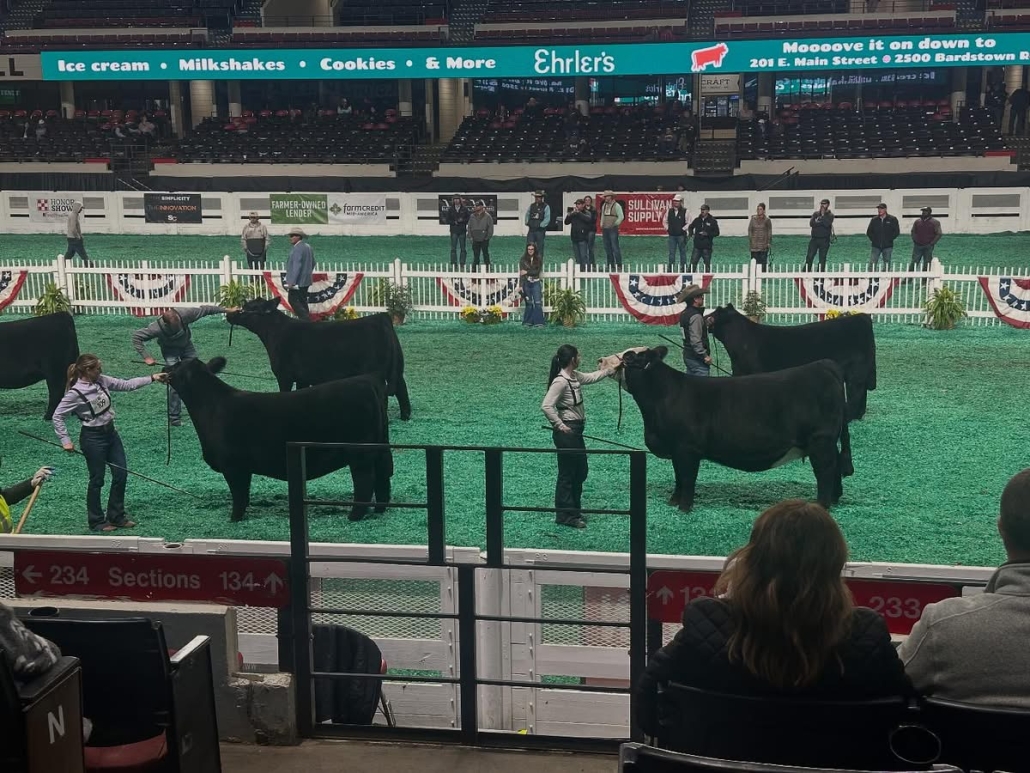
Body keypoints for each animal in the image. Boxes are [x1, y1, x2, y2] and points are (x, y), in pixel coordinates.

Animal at [163, 356, 393, 522]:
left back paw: (354, 516)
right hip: (380, 448)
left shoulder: (233, 466)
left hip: (359, 453)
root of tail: (369, 380)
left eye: (177, 365)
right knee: (383, 478)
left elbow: (239, 494)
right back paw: (379, 510)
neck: (212, 405)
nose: (164, 367)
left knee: (365, 481)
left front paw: (234, 518)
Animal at [227, 298, 412, 420]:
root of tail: (382, 318)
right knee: (402, 390)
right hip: (397, 369)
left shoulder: (284, 375)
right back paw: (405, 417)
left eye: (248, 307)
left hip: (374, 370)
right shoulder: (302, 377)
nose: (229, 315)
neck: (274, 332)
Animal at [598, 346, 853, 512]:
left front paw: (684, 508)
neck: (664, 395)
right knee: (836, 466)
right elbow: (678, 477)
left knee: (825, 470)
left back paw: (821, 505)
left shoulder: (687, 448)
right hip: (827, 441)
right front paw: (673, 501)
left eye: (629, 356)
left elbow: (687, 478)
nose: (600, 360)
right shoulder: (677, 449)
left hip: (820, 440)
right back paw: (835, 499)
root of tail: (826, 365)